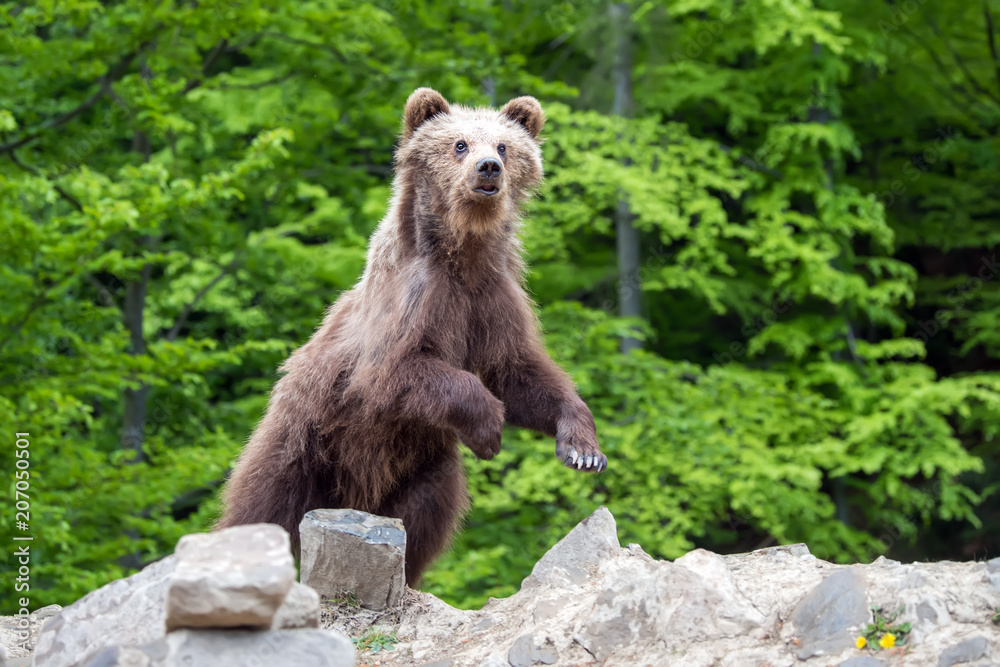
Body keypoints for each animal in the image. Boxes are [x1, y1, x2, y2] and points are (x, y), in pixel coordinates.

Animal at [216, 88, 607, 586]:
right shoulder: (412, 303)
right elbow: (398, 371)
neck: (463, 257)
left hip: (422, 466)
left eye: (504, 146)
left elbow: (519, 373)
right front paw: (490, 426)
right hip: (302, 442)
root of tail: (354, 499)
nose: (488, 168)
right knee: (262, 506)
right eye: (459, 144)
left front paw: (582, 448)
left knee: (426, 515)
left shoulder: (492, 303)